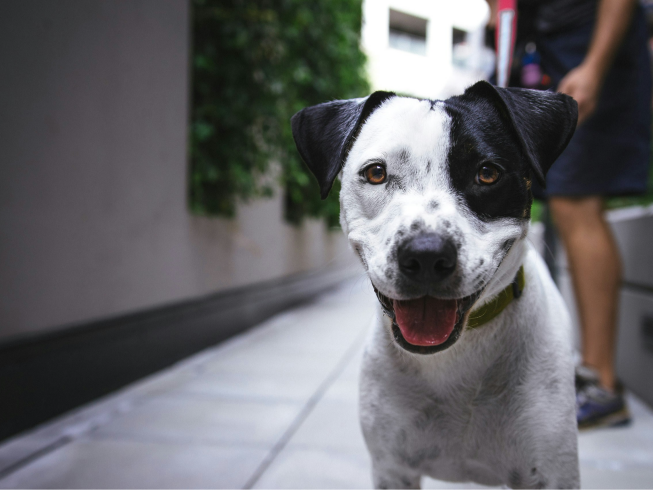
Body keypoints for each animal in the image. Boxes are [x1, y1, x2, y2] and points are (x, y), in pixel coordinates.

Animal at [292, 81, 580, 490]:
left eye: (487, 173)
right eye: (376, 173)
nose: (426, 255)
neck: (455, 358)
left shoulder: (552, 472)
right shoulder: (392, 469)